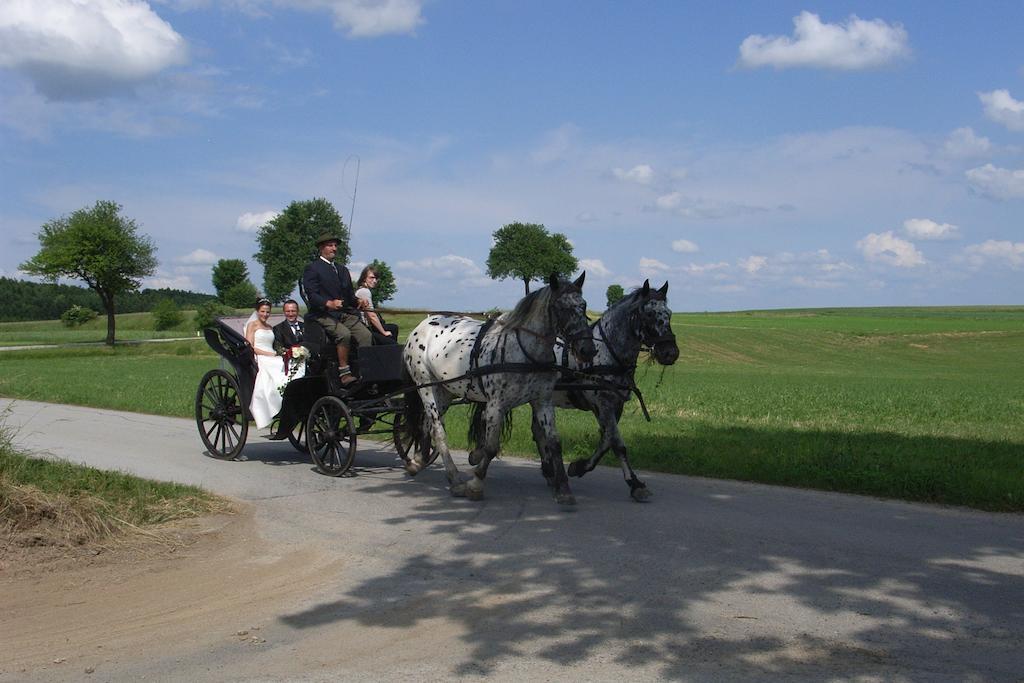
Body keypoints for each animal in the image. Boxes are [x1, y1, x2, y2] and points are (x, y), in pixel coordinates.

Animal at [397, 274, 598, 505]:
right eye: (561, 308)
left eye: (583, 305)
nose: (587, 350)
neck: (524, 352)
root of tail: (421, 326)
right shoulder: (495, 405)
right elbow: (491, 447)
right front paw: (475, 484)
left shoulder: (543, 402)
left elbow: (554, 443)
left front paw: (564, 489)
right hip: (425, 386)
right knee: (438, 430)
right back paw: (455, 479)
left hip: (444, 391)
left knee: (426, 425)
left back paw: (418, 462)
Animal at [552, 278, 679, 501]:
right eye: (649, 314)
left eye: (669, 313)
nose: (670, 352)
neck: (606, 351)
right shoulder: (603, 403)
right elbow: (617, 443)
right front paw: (634, 483)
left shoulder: (615, 404)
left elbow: (607, 440)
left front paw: (580, 466)